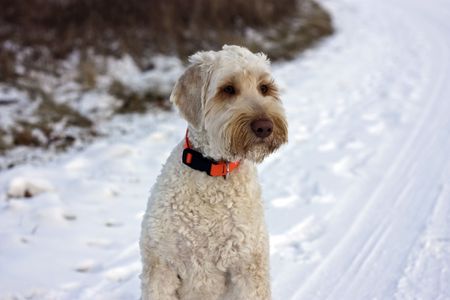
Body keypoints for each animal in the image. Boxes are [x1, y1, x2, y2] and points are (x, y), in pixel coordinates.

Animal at [140, 45, 288, 300]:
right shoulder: (160, 267)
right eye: (228, 89)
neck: (214, 173)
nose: (264, 127)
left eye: (264, 88)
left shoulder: (249, 265)